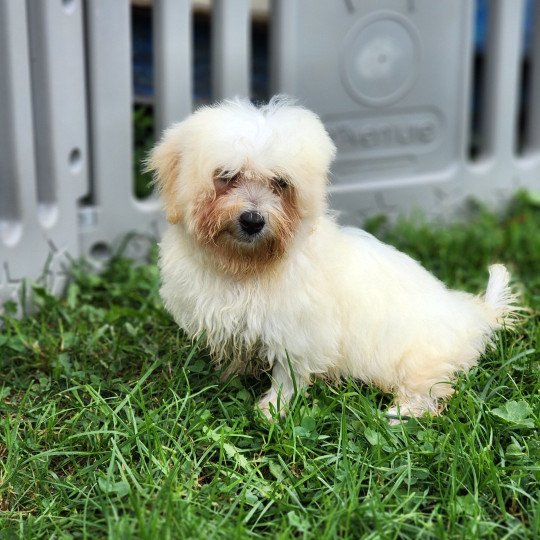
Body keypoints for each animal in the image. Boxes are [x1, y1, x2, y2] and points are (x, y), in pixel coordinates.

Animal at [148, 97, 520, 422]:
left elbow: (289, 374)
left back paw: (397, 416)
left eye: (280, 183)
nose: (253, 220)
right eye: (226, 176)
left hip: (419, 358)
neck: (247, 266)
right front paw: (231, 375)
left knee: (427, 392)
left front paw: (273, 410)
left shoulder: (300, 333)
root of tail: (473, 314)